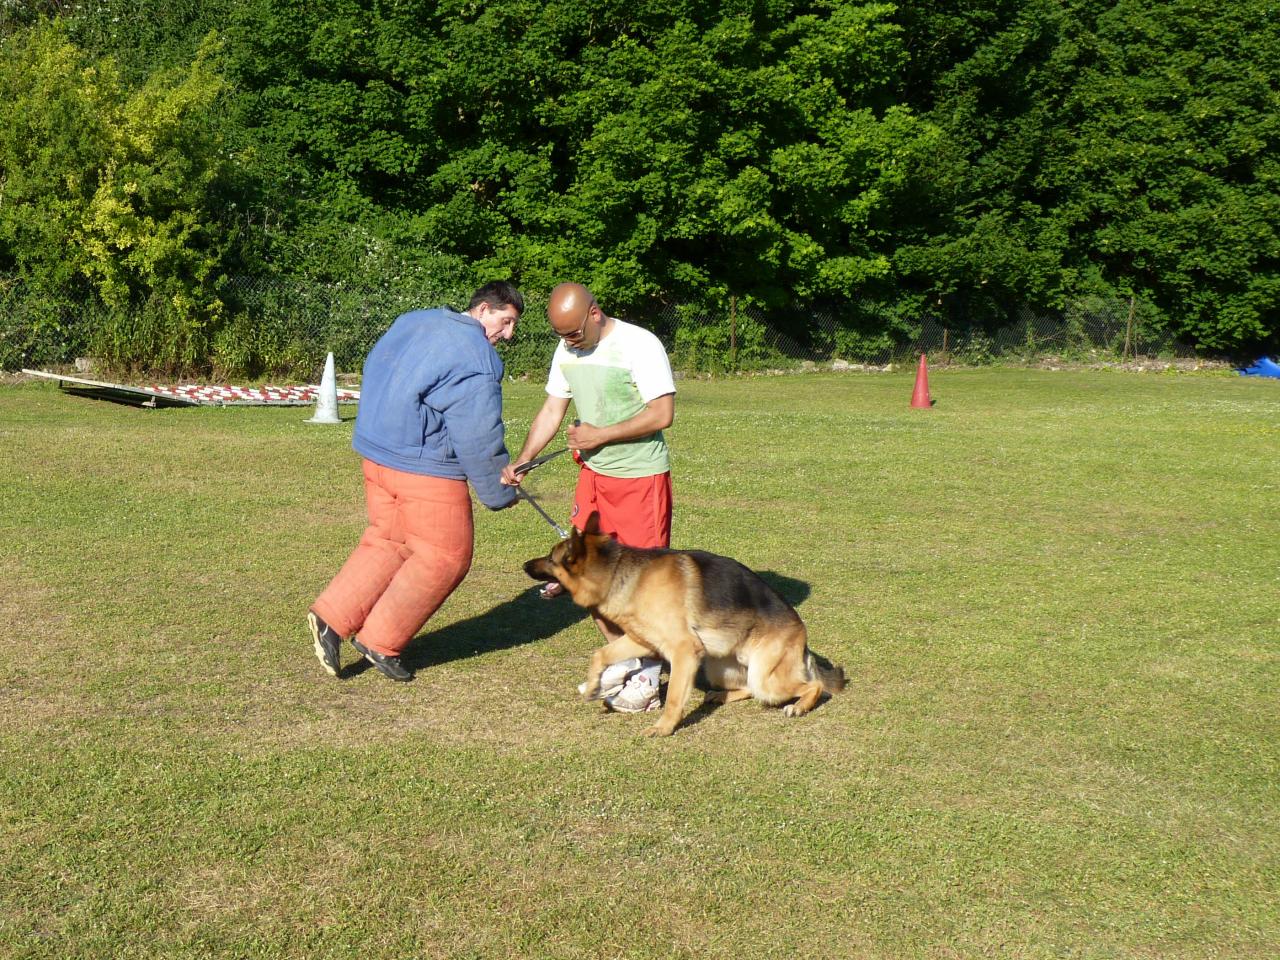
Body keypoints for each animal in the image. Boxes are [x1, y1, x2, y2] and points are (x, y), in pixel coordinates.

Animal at [519, 519, 839, 737]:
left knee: (814, 686)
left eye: (550, 558)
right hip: (719, 667)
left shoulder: (684, 651)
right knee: (747, 687)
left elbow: (673, 695)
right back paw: (721, 696)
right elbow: (600, 654)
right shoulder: (643, 640)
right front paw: (595, 685)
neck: (620, 572)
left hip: (765, 677)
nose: (523, 565)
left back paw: (799, 706)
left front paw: (663, 727)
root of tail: (802, 634)